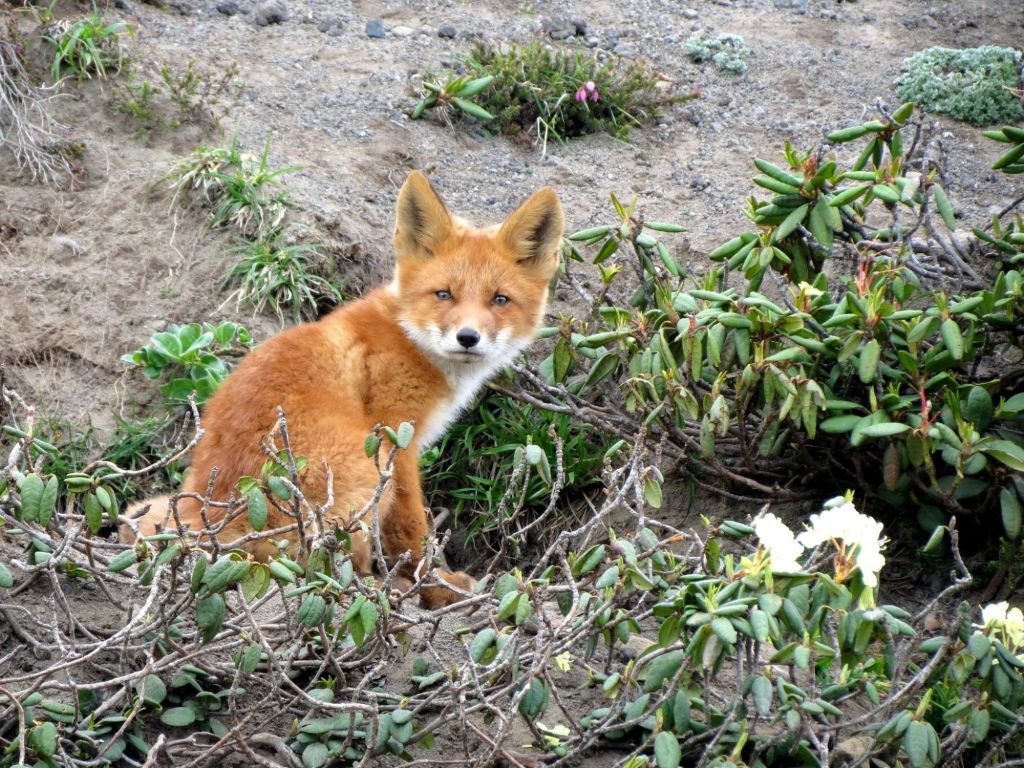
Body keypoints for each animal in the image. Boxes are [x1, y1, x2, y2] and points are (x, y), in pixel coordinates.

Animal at [121, 170, 564, 608]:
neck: (408, 338)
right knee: (320, 564)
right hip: (366, 467)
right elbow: (412, 527)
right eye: (444, 294)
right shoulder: (397, 440)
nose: (468, 337)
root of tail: (220, 515)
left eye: (499, 300)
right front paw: (437, 586)